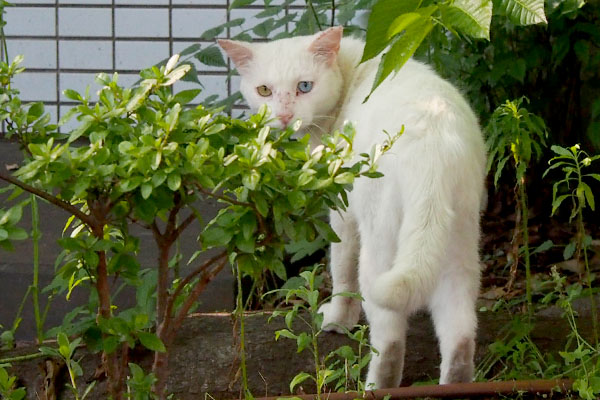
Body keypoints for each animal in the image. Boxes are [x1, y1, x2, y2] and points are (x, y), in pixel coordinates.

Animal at [220, 27, 488, 388]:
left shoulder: (342, 213)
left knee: (388, 338)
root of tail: (432, 150)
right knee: (459, 334)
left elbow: (341, 272)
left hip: (380, 246)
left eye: (305, 86)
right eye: (264, 90)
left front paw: (337, 320)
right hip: (457, 245)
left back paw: (375, 386)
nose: (285, 116)